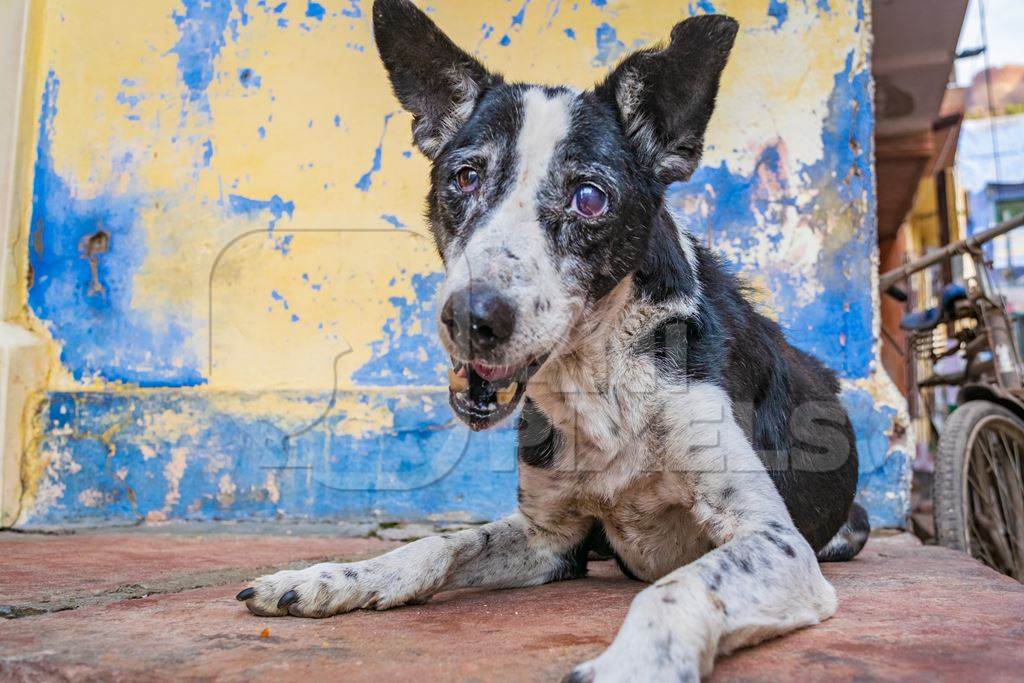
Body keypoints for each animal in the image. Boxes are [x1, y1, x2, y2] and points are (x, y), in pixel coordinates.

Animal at [235, 3, 868, 679]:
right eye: (465, 177)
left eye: (588, 198)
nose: (470, 316)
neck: (599, 378)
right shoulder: (550, 536)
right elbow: (440, 543)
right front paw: (337, 578)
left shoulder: (774, 540)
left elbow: (678, 585)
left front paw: (634, 662)